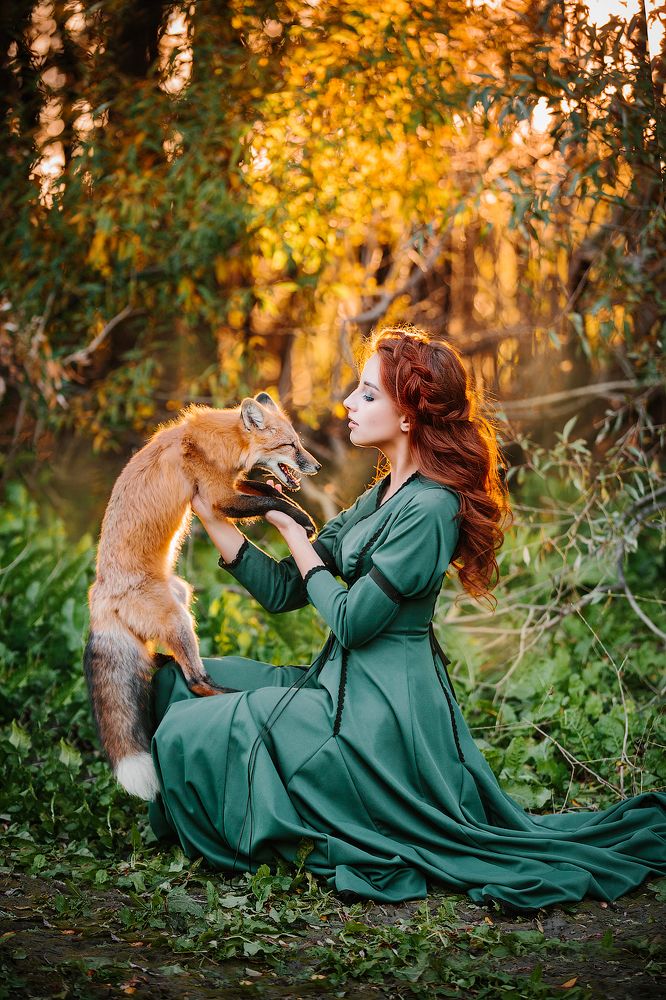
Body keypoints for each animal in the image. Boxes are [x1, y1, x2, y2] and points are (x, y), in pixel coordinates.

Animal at [84, 391, 320, 801]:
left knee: (160, 661)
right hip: (178, 619)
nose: (317, 466)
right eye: (291, 445)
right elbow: (271, 501)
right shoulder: (216, 496)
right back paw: (233, 693)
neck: (214, 443)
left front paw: (301, 514)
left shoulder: (232, 484)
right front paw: (302, 519)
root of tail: (99, 597)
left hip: (181, 597)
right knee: (195, 681)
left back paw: (166, 663)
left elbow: (267, 490)